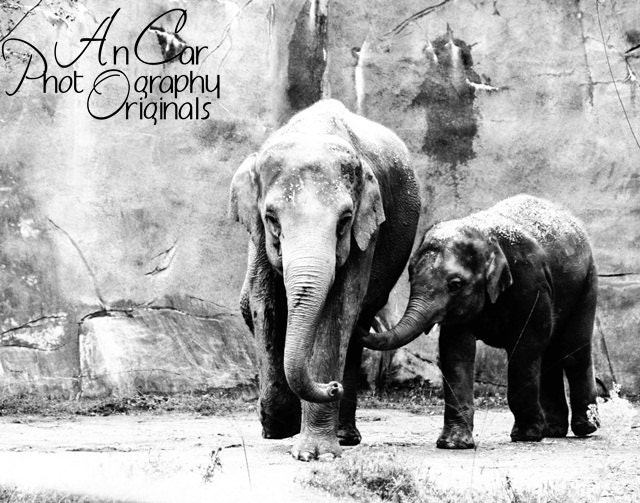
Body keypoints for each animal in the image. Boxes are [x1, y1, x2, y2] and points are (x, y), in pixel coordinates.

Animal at [229, 99, 420, 460]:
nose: (332, 388)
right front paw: (279, 426)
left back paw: (343, 436)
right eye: (272, 219)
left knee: (358, 321)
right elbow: (264, 301)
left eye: (344, 221)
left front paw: (316, 454)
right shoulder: (257, 235)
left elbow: (340, 307)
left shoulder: (366, 229)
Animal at [360, 194, 600, 448]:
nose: (364, 317)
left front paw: (526, 436)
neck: (484, 235)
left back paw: (585, 427)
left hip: (587, 282)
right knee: (549, 354)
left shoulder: (531, 281)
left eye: (455, 284)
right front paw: (454, 444)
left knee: (573, 351)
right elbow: (456, 351)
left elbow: (526, 346)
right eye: (410, 276)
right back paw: (555, 430)